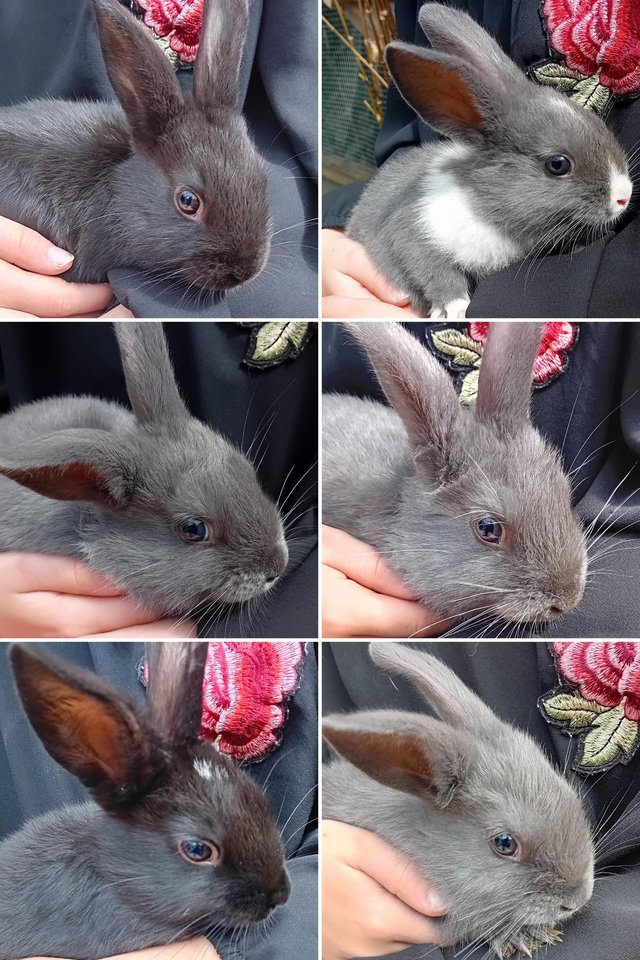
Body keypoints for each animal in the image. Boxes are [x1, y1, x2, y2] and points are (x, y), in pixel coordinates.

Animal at [346, 3, 633, 318]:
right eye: (558, 164)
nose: (624, 196)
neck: (486, 206)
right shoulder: (412, 234)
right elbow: (437, 273)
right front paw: (456, 309)